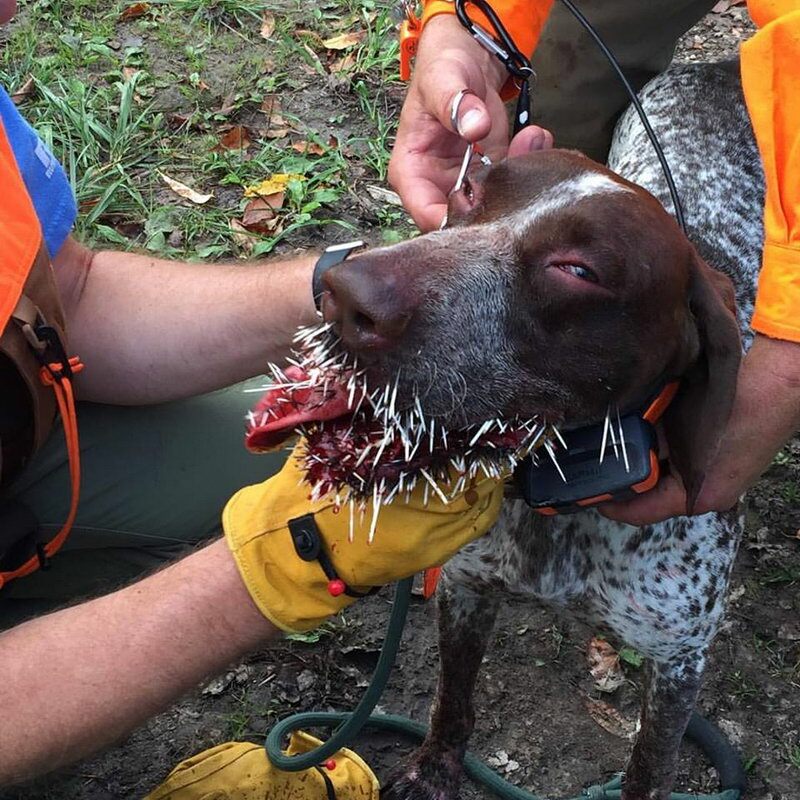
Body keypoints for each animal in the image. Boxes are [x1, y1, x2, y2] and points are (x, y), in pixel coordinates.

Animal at [320, 62, 764, 800]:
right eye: (470, 189)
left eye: (577, 270)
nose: (343, 293)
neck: (562, 497)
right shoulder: (467, 587)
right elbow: (453, 701)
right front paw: (434, 770)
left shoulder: (679, 662)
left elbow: (649, 768)